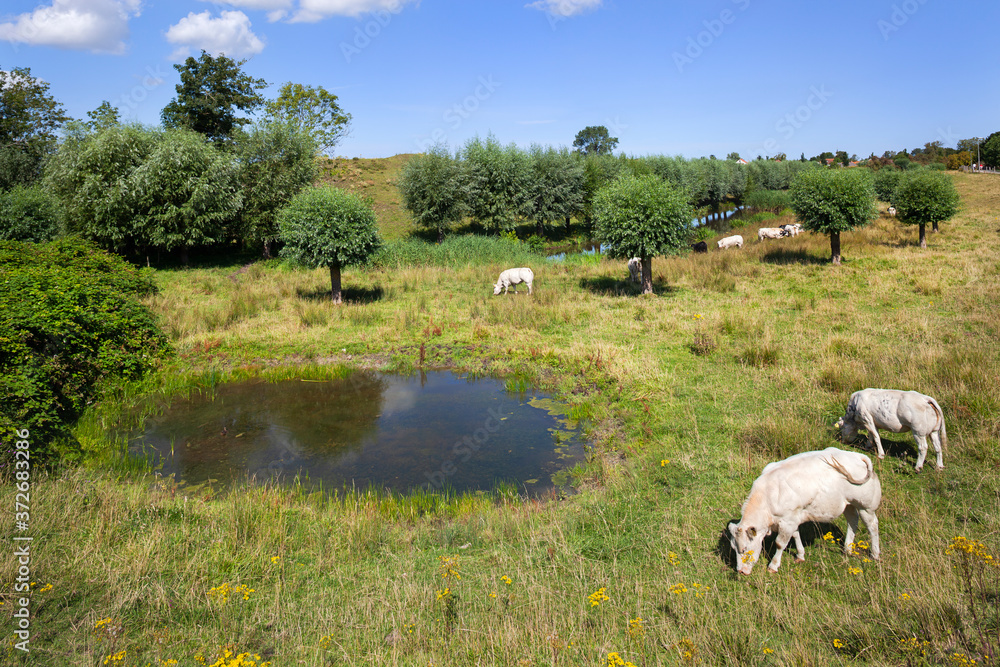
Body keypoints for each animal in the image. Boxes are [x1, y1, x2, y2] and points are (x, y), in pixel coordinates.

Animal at [728, 448, 884, 576]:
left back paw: (875, 554)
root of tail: (858, 456)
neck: (768, 495)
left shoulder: (787, 522)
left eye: (744, 549)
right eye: (733, 548)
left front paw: (773, 565)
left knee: (872, 526)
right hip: (848, 504)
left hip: (866, 507)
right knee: (852, 521)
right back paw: (847, 549)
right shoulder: (793, 518)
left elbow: (780, 543)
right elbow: (796, 535)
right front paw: (800, 555)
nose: (741, 571)